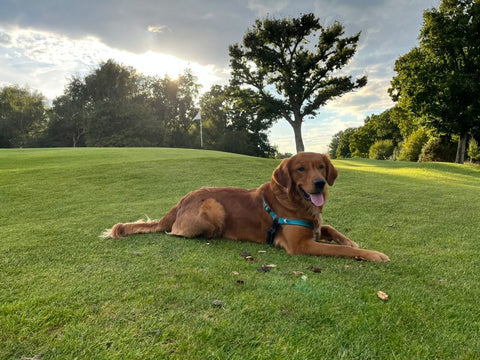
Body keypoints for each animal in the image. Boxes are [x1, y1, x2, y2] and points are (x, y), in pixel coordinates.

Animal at [102, 152, 390, 262]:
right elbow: (340, 249)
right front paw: (373, 254)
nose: (319, 183)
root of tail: (180, 201)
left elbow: (331, 229)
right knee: (178, 233)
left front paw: (350, 240)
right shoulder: (300, 245)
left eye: (321, 166)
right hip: (213, 207)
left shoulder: (316, 226)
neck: (293, 201)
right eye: (301, 169)